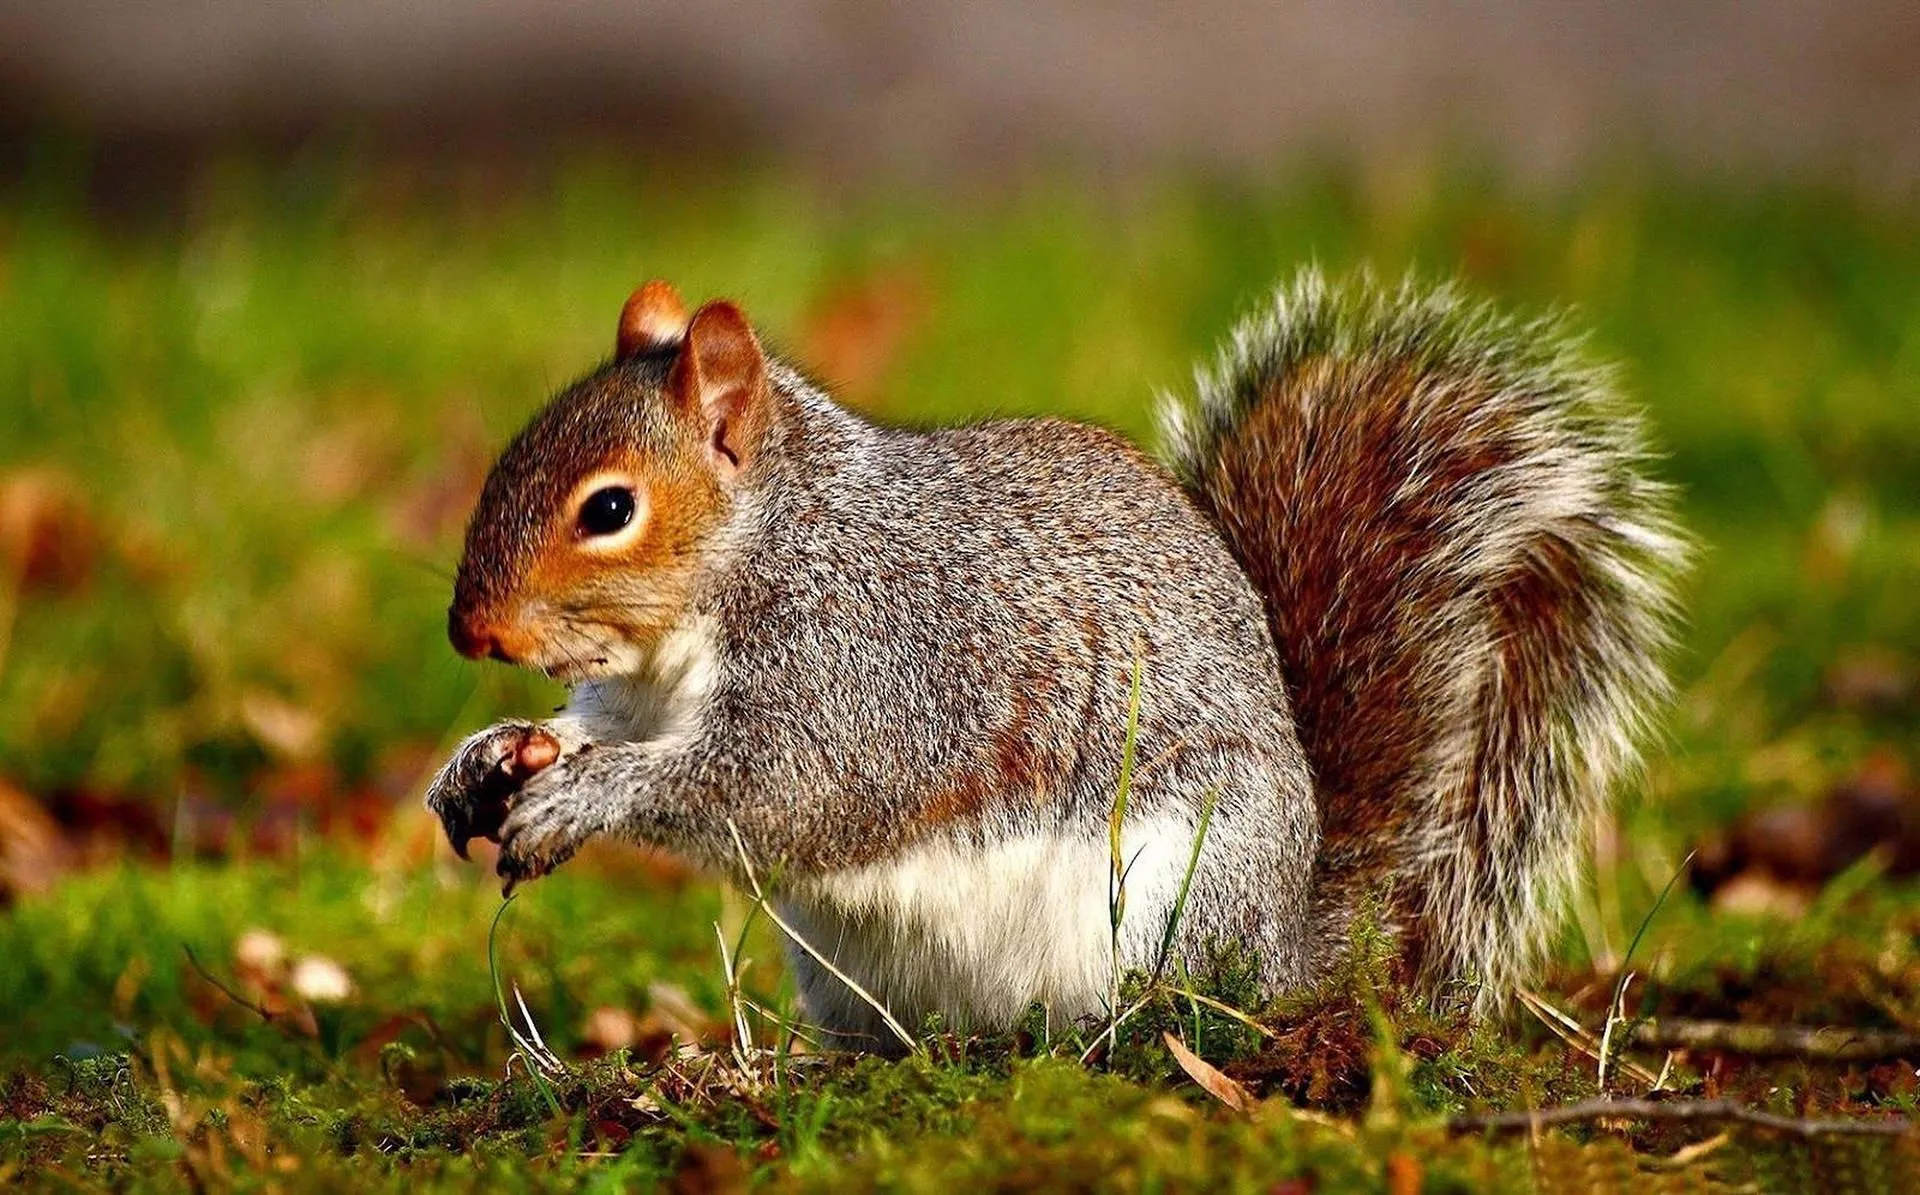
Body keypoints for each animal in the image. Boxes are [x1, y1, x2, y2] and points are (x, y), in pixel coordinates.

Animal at [426, 270, 1686, 1048]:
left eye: (609, 509)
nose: (470, 633)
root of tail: (1289, 948)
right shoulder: (643, 690)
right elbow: (600, 728)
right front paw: (490, 756)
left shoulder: (870, 663)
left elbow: (781, 784)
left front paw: (583, 797)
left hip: (1166, 898)